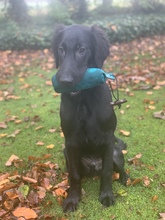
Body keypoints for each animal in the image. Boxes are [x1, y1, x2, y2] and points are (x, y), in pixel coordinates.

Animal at [52, 24, 127, 212]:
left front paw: (106, 196)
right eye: (61, 49)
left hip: (116, 152)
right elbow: (74, 175)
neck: (84, 100)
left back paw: (124, 178)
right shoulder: (70, 142)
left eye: (82, 49)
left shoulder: (108, 139)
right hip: (67, 154)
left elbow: (107, 172)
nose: (64, 81)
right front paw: (73, 199)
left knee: (119, 169)